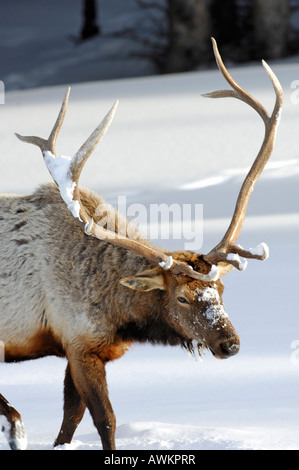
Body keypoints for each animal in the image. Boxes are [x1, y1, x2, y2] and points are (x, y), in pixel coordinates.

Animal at [0, 38, 284, 450]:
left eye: (221, 289)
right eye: (181, 298)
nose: (230, 344)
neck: (119, 315)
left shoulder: (83, 347)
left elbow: (69, 421)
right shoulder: (78, 343)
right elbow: (105, 420)